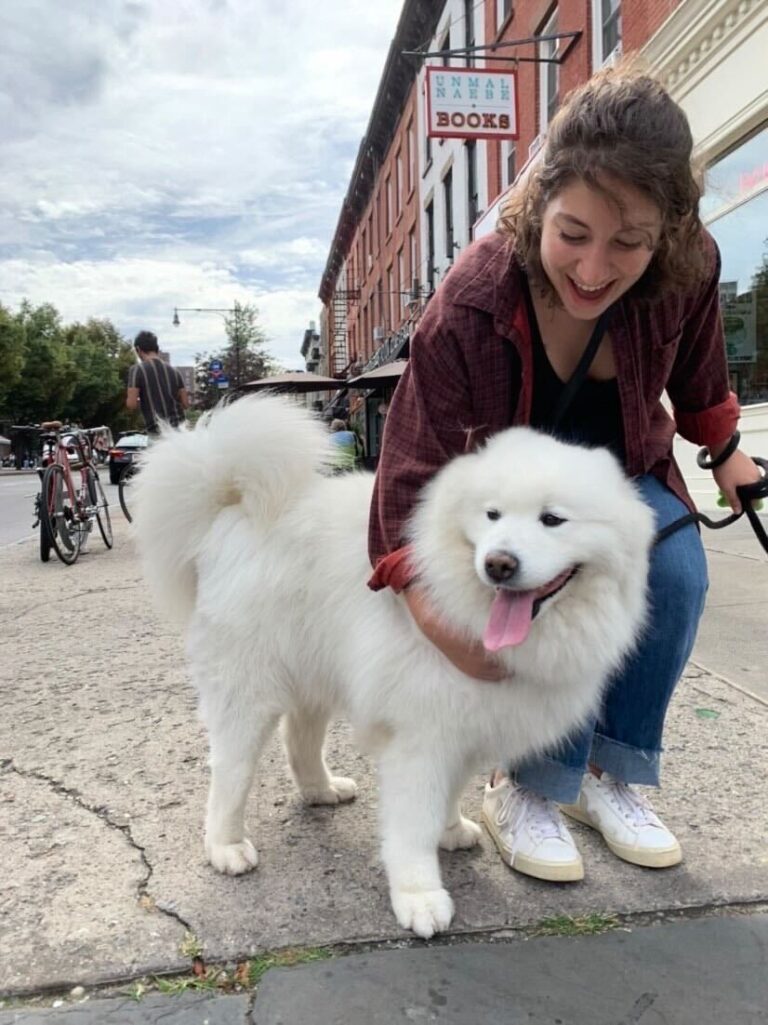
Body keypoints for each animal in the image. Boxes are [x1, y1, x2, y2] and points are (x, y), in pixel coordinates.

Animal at [132, 391, 652, 938]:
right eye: (492, 515)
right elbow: (412, 824)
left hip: (315, 667)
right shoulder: (421, 738)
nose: (499, 564)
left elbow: (447, 797)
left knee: (299, 738)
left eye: (552, 520)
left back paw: (321, 790)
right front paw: (419, 897)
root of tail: (229, 508)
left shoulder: (467, 728)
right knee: (230, 771)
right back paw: (226, 847)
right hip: (249, 691)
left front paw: (451, 831)